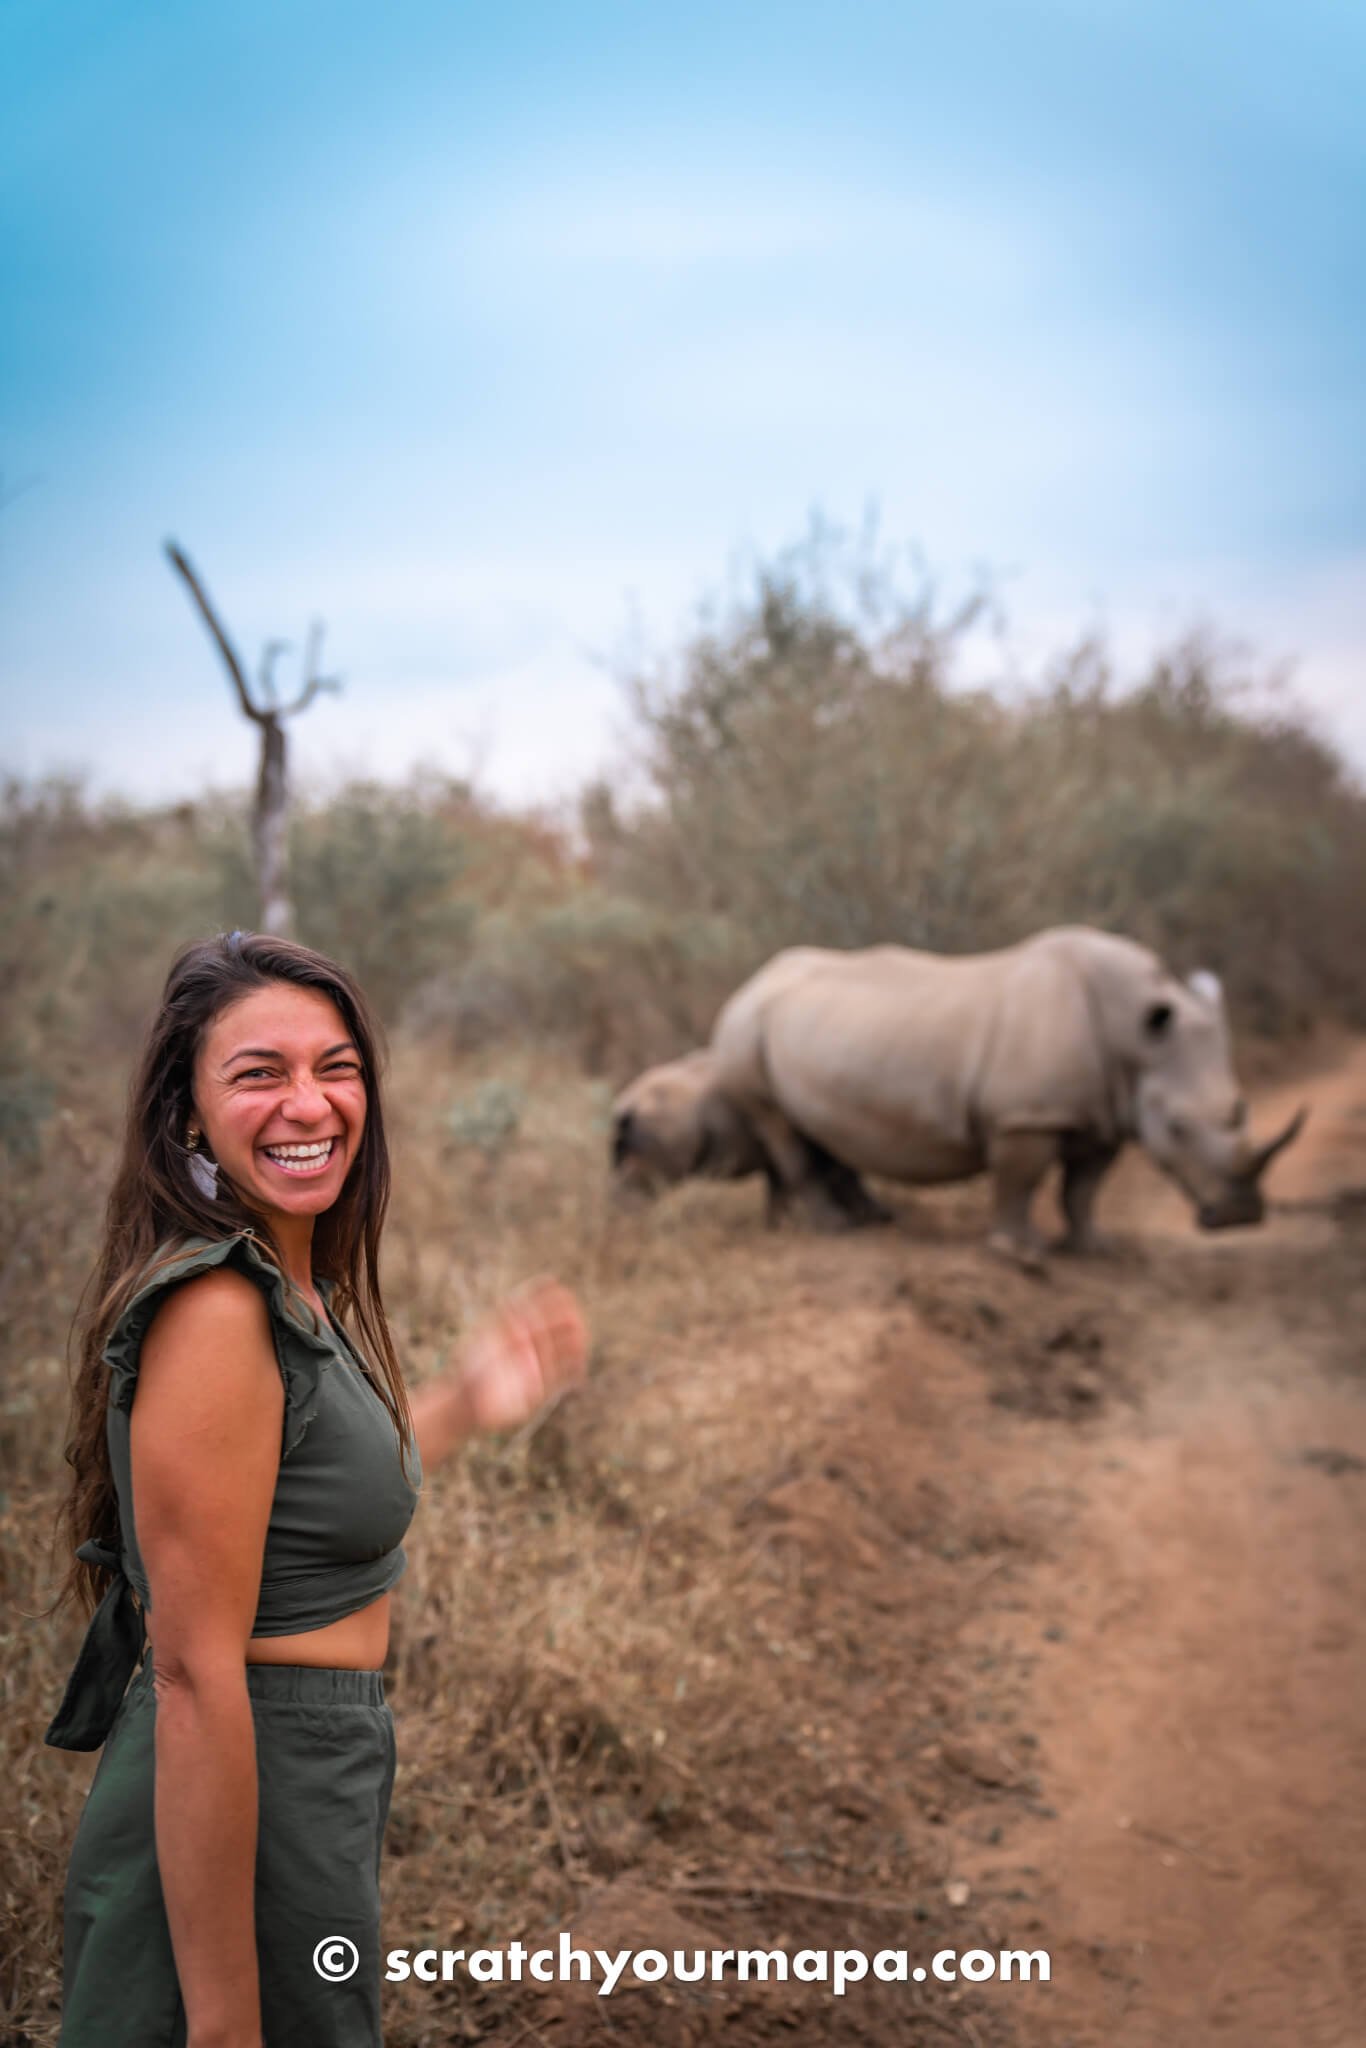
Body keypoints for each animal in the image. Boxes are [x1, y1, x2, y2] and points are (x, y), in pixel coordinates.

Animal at [712, 921, 1310, 1253]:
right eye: (1179, 1128)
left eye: (1241, 1108)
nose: (1240, 1216)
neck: (1133, 1036)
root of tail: (750, 982)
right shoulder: (1027, 1115)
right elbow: (1020, 1182)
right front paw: (1018, 1251)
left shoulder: (1104, 1114)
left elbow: (1083, 1188)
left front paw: (1094, 1248)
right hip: (743, 1032)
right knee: (779, 1127)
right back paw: (837, 1232)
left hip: (808, 1032)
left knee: (821, 1129)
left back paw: (870, 1220)